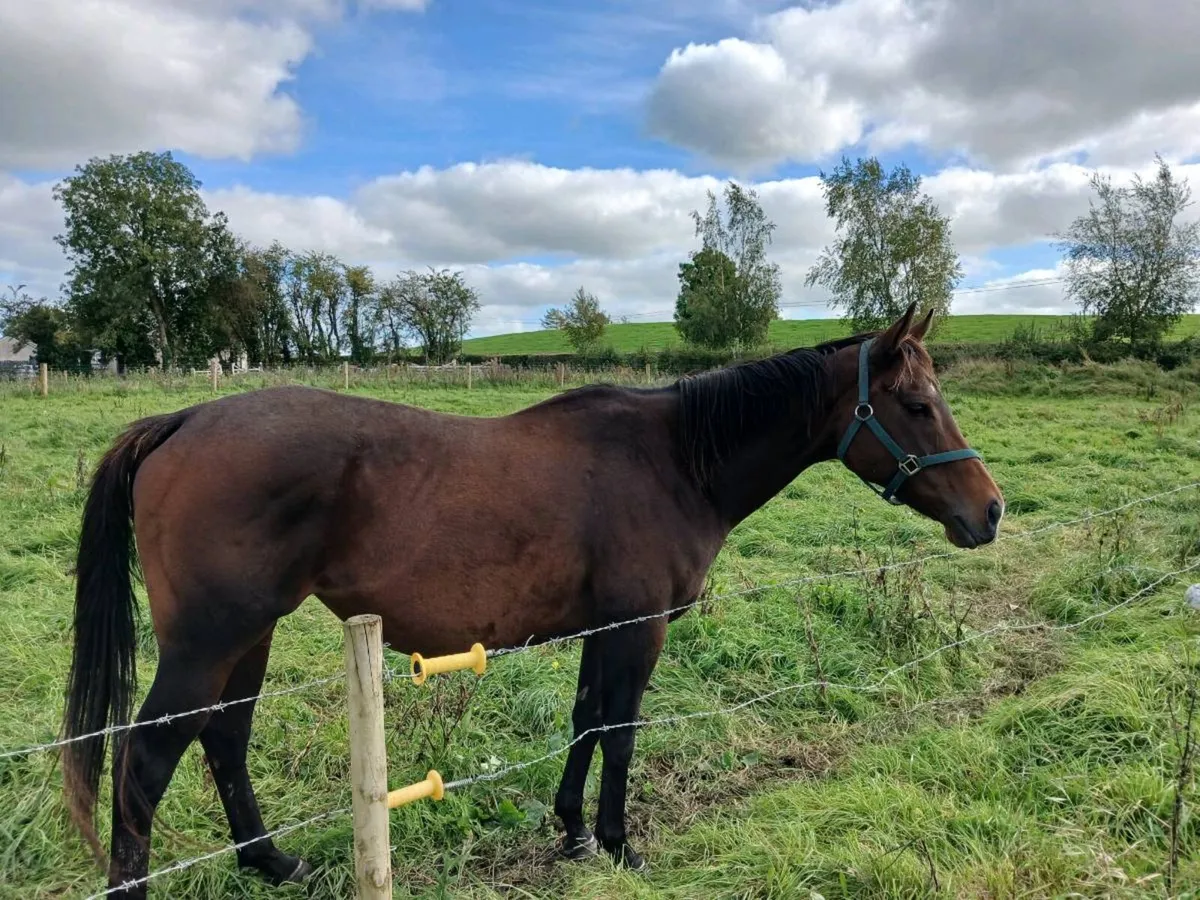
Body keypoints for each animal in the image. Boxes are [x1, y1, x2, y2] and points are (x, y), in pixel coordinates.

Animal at [61, 304, 1003, 896]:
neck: (675, 460)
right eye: (916, 404)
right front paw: (619, 843)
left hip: (247, 639)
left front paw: (574, 830)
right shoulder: (637, 631)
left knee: (223, 740)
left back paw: (275, 865)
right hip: (207, 643)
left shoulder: (602, 628)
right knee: (146, 762)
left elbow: (585, 722)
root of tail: (183, 420)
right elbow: (620, 732)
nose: (989, 511)